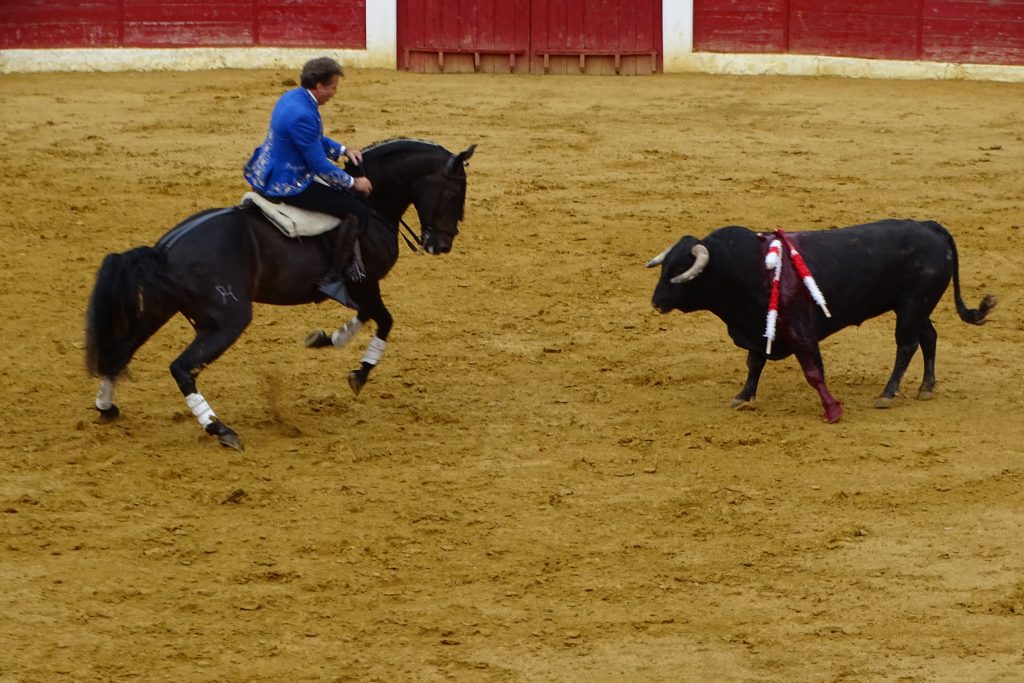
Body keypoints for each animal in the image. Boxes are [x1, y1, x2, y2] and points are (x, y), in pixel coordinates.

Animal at [85, 138, 476, 451]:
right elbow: (384, 320)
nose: (442, 244)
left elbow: (366, 316)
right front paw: (359, 373)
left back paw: (106, 407)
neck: (372, 204)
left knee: (121, 350)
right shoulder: (364, 283)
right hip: (228, 321)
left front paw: (325, 338)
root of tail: (163, 250)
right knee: (181, 368)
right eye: (453, 194)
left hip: (157, 310)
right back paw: (219, 428)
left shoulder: (361, 288)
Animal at [646, 219, 995, 423]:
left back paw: (887, 393)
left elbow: (813, 372)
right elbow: (754, 363)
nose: (656, 301)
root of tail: (931, 227)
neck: (743, 268)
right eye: (665, 267)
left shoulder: (800, 330)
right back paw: (926, 387)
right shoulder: (759, 327)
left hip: (912, 306)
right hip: (913, 307)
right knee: (929, 337)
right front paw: (743, 396)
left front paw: (833, 410)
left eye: (680, 270)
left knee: (906, 345)